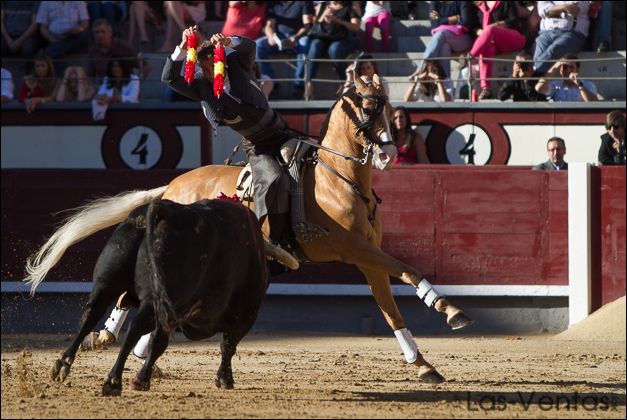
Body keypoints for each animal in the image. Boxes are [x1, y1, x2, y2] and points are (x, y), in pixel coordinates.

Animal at [51, 199, 270, 396]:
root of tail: (161, 211)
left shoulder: (171, 315)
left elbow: (158, 342)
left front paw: (142, 379)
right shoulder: (245, 316)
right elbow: (228, 345)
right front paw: (225, 379)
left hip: (107, 283)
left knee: (90, 314)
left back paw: (63, 365)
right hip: (152, 300)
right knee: (134, 327)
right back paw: (113, 381)